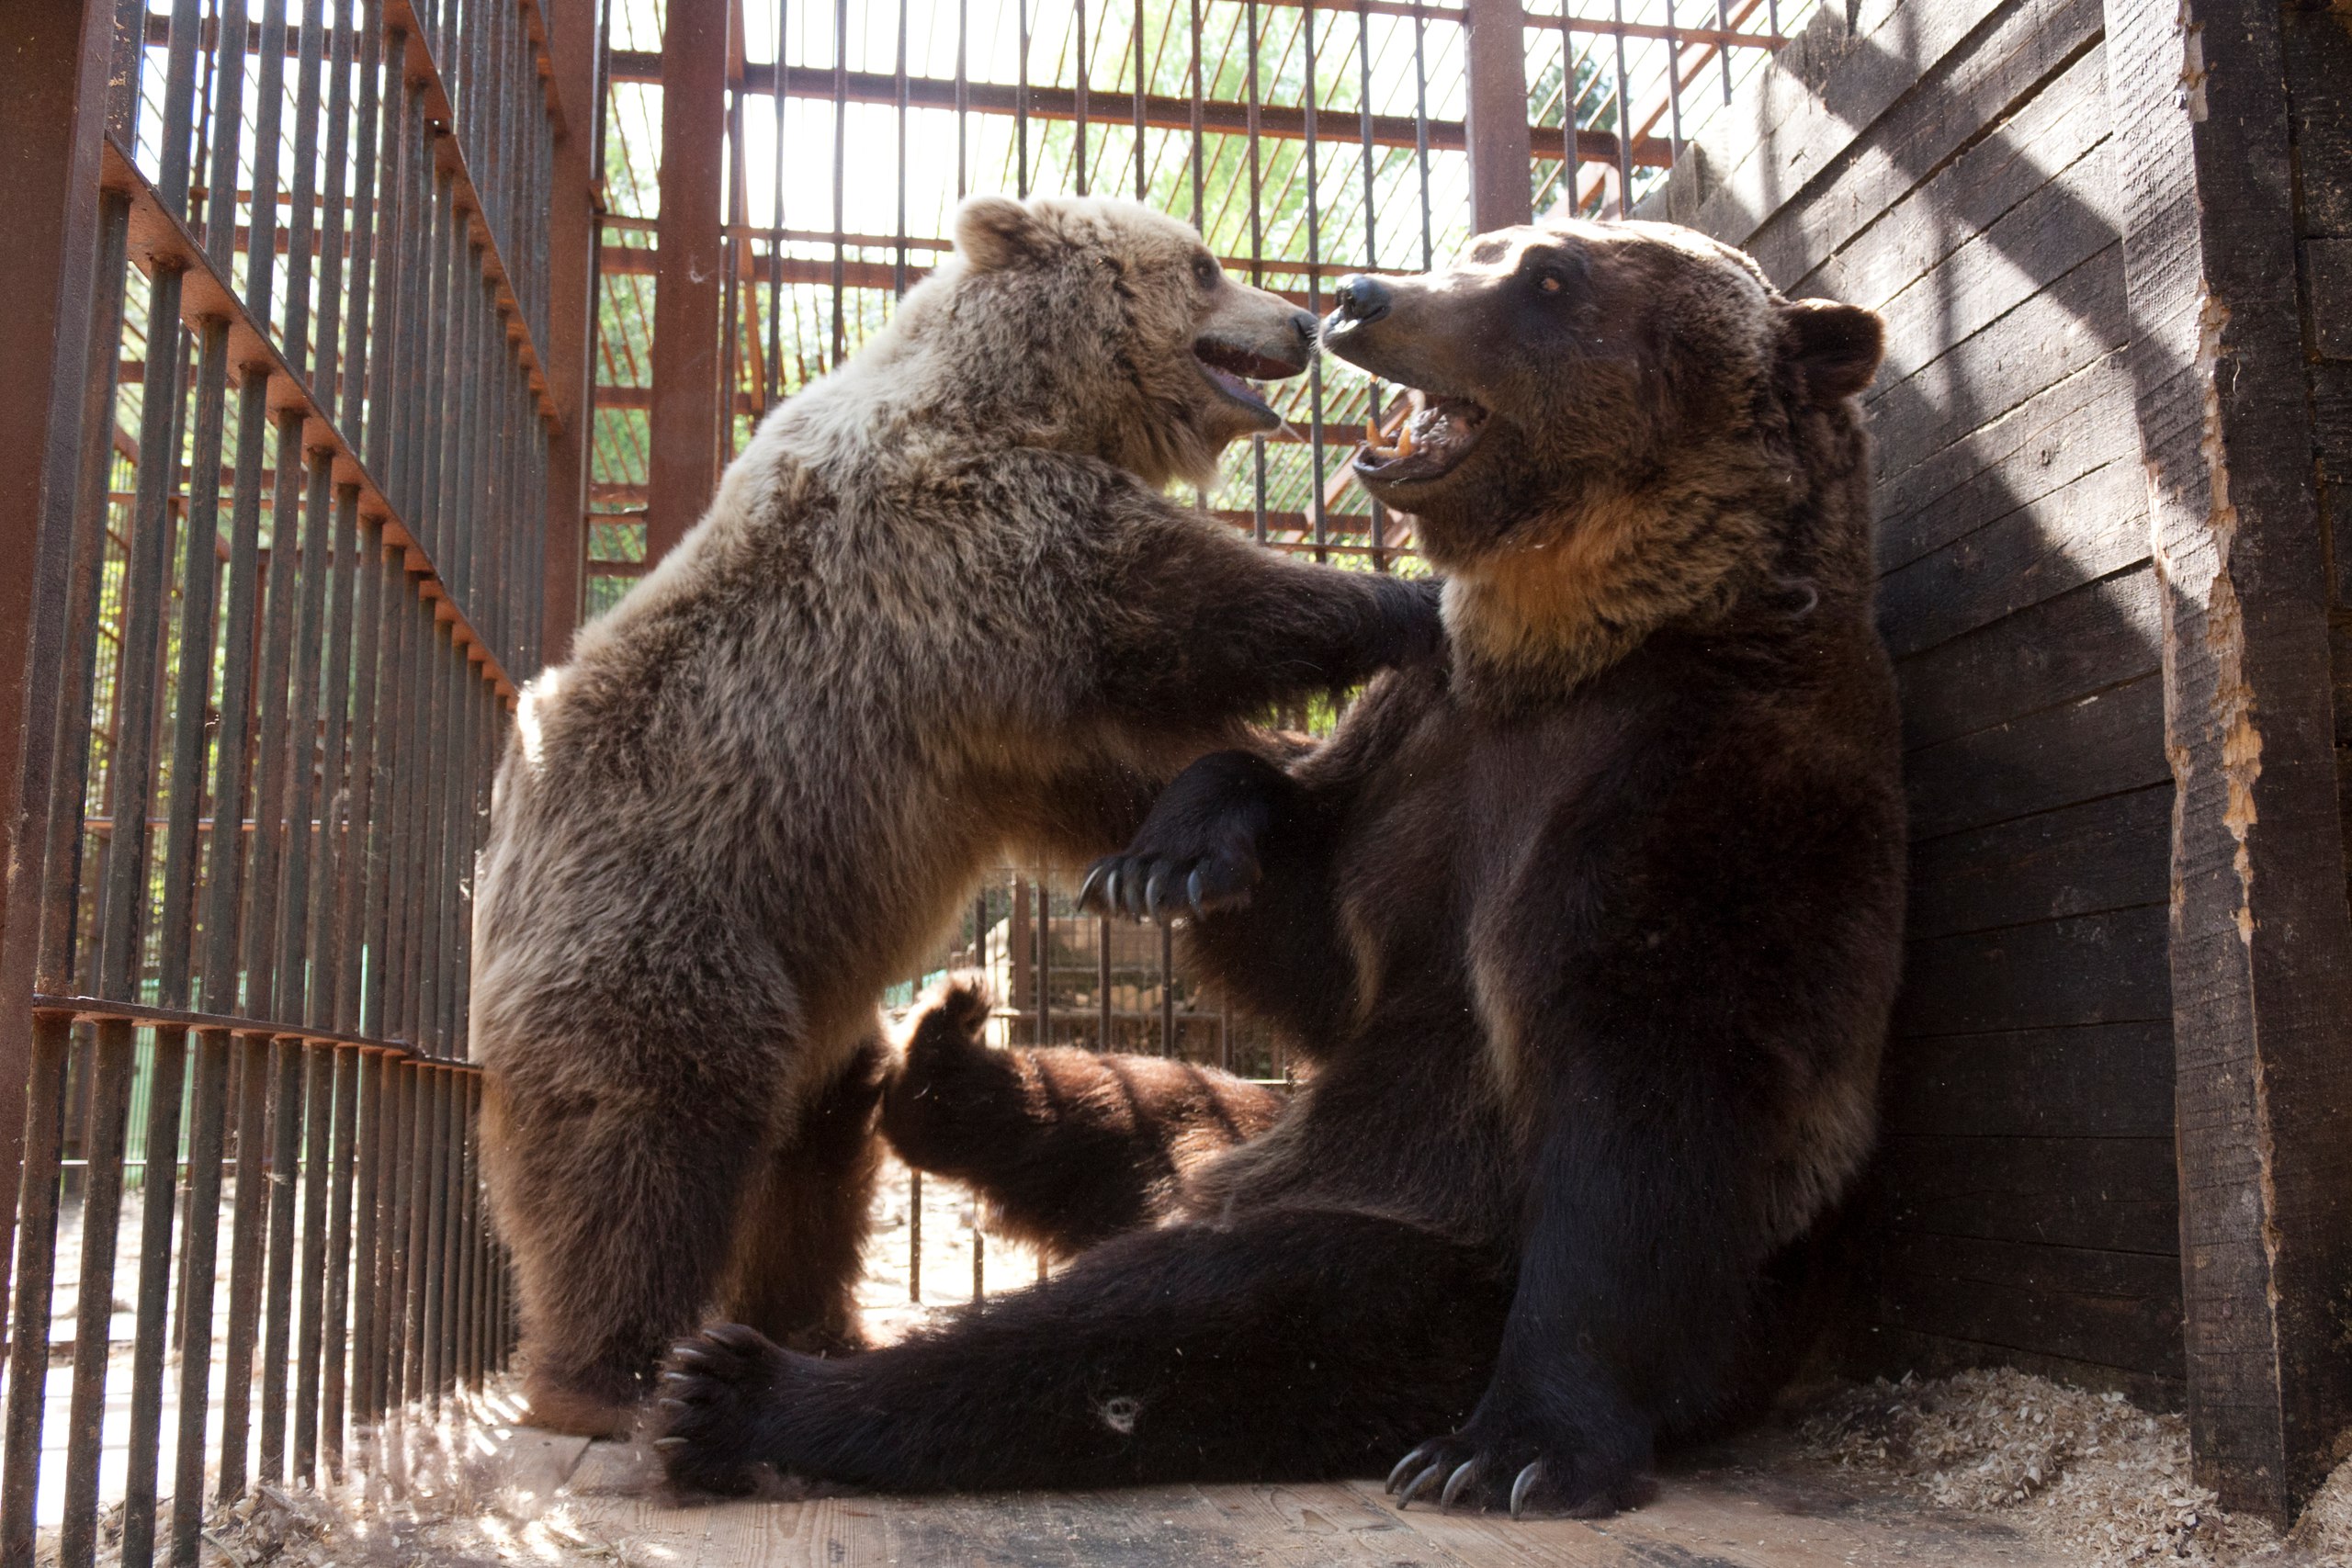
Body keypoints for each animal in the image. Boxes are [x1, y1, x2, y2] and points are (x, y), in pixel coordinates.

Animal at [468, 192, 1439, 1438]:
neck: (1023, 398)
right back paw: (611, 1376)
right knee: (647, 1130)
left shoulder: (988, 720)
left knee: (819, 1146)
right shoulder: (961, 541)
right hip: (665, 920)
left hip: (814, 978)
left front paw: (1201, 847)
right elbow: (1172, 598)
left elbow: (1130, 767)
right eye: (1204, 264)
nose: (1303, 320)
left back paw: (817, 1324)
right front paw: (1399, 600)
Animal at [653, 220, 1900, 1523]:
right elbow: (1321, 927)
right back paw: (949, 1069)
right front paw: (1170, 857)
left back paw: (751, 1390)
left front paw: (1513, 1448)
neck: (1571, 647)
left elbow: (1648, 1096)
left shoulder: (1694, 785)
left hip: (1421, 1242)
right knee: (1121, 1109)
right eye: (1486, 246)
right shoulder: (1430, 751)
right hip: (1240, 1126)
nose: (1362, 297)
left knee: (1183, 1323)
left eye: (1552, 277)